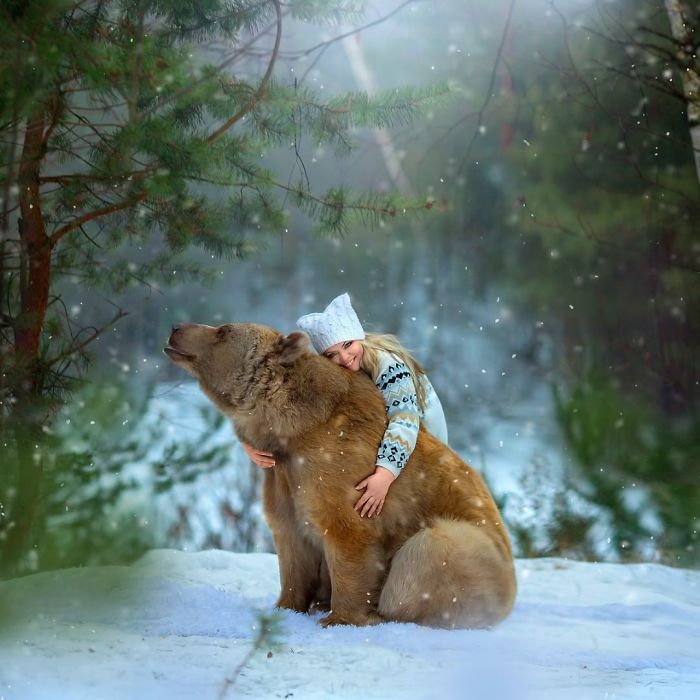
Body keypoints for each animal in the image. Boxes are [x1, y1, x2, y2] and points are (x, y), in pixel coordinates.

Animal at [164, 322, 516, 629]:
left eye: (223, 330)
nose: (176, 328)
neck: (290, 428)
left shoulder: (336, 462)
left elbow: (348, 532)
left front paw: (340, 617)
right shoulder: (283, 474)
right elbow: (290, 539)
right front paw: (285, 605)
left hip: (476, 553)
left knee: (430, 550)